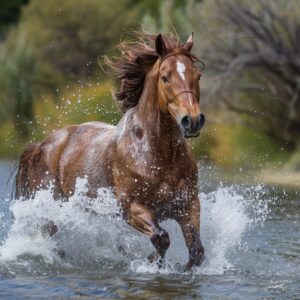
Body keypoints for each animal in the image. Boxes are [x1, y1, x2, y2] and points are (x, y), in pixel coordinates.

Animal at [15, 32, 205, 270]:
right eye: (165, 78)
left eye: (197, 76)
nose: (193, 121)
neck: (159, 155)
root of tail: (41, 145)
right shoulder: (133, 208)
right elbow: (161, 237)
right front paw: (152, 261)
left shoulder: (187, 205)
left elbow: (197, 251)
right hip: (52, 208)